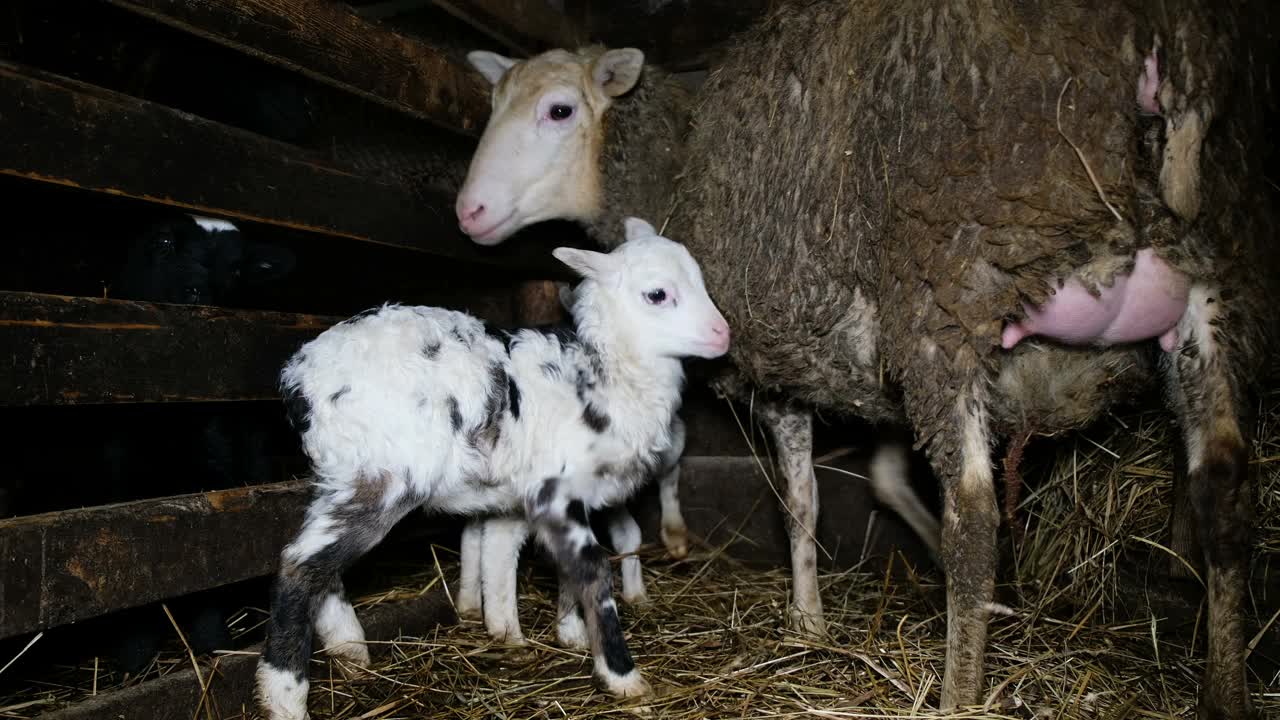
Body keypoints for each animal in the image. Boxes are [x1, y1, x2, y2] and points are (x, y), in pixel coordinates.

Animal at [252, 217, 732, 717]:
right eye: (657, 294)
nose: (723, 336)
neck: (609, 372)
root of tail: (298, 379)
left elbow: (549, 566)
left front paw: (566, 635)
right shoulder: (554, 489)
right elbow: (592, 569)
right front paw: (621, 676)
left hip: (343, 473)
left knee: (321, 567)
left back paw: (351, 651)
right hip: (382, 475)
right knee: (301, 565)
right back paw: (285, 696)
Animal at [453, 2, 1280, 712]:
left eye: (560, 110)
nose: (468, 213)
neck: (677, 167)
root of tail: (1171, 44)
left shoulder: (778, 365)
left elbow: (801, 505)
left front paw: (809, 619)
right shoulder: (880, 377)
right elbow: (881, 475)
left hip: (951, 287)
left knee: (975, 512)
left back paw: (957, 693)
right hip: (1217, 283)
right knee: (1224, 491)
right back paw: (1225, 691)